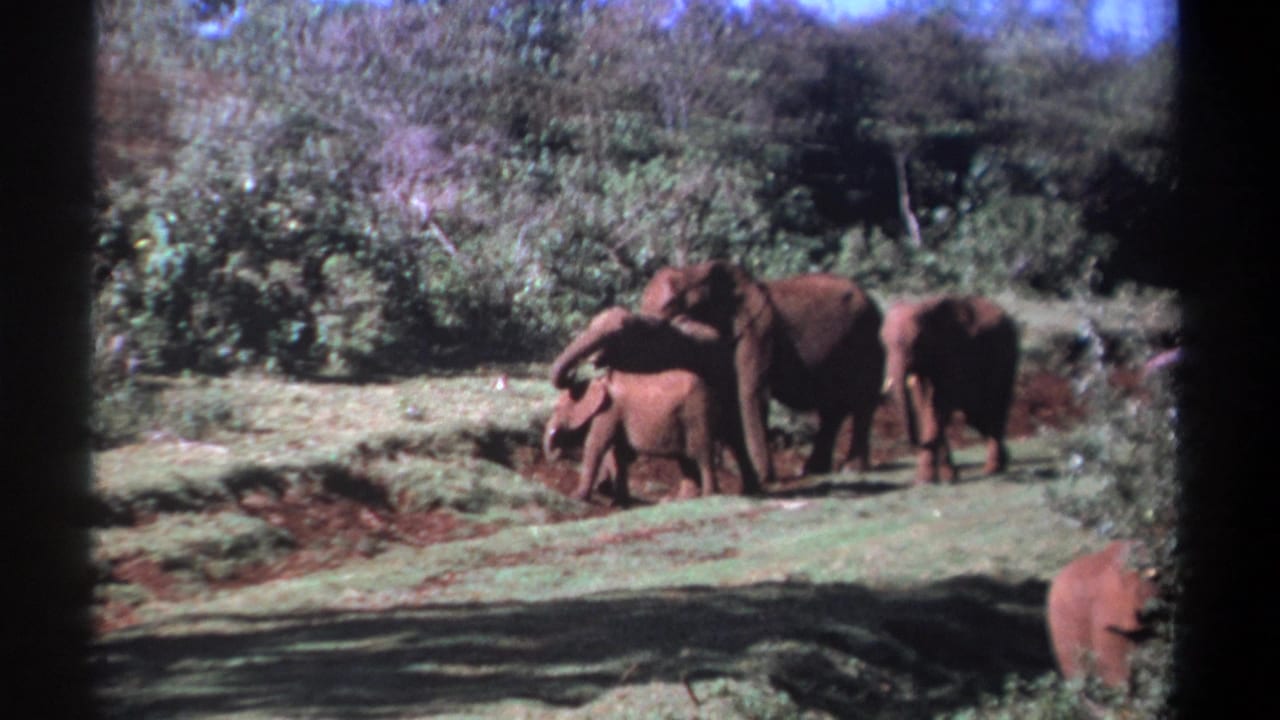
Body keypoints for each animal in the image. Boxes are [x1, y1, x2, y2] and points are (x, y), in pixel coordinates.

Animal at [543, 367, 722, 507]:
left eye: (557, 408)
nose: (557, 453)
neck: (596, 382)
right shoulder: (615, 415)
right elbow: (618, 454)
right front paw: (620, 503)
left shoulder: (608, 412)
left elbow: (595, 445)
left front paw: (576, 497)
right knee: (685, 459)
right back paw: (681, 501)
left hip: (697, 414)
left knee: (701, 454)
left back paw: (708, 496)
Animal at [552, 262, 886, 493]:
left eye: (630, 331)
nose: (575, 377)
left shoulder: (757, 332)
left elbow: (749, 393)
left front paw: (763, 479)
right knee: (833, 409)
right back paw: (813, 471)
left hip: (867, 336)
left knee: (861, 401)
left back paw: (849, 470)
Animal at [880, 295, 1019, 484]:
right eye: (883, 342)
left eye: (916, 341)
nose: (915, 442)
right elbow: (924, 407)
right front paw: (948, 477)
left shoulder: (952, 353)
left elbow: (938, 408)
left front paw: (925, 480)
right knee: (977, 416)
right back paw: (1003, 461)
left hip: (1006, 358)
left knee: (996, 408)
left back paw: (993, 469)